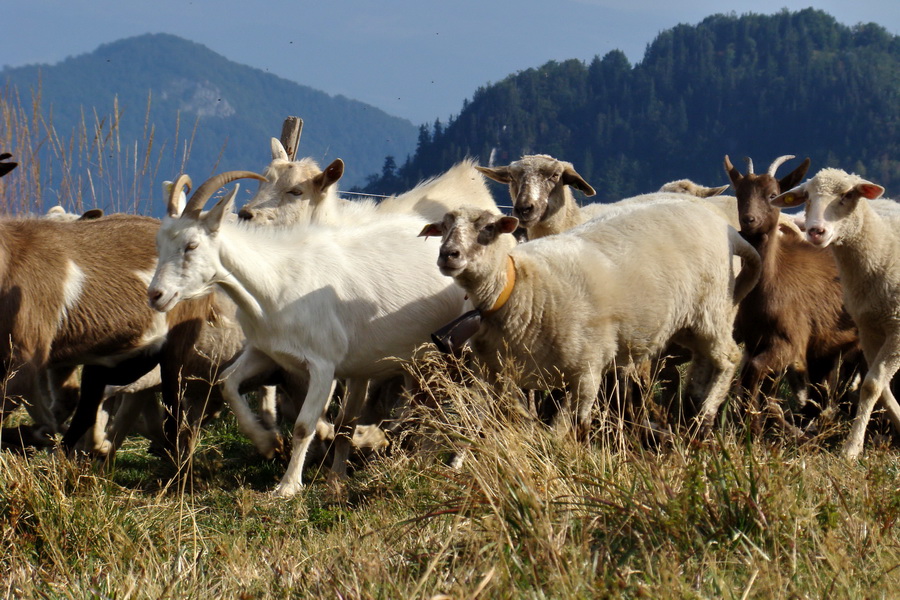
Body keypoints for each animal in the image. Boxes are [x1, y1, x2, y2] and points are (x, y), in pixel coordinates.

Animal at [149, 170, 468, 496]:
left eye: (191, 245)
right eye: (159, 244)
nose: (156, 295)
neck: (276, 282)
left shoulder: (322, 365)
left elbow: (304, 425)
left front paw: (287, 486)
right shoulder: (265, 351)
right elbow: (227, 383)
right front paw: (267, 443)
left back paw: (447, 460)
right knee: (422, 404)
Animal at [420, 200, 760, 436]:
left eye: (488, 228)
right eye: (442, 228)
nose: (448, 255)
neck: (520, 288)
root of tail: (729, 230)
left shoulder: (587, 368)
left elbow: (569, 427)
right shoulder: (498, 377)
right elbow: (513, 418)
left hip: (714, 309)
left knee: (728, 358)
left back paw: (705, 415)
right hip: (690, 322)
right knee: (704, 361)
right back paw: (692, 409)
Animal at [720, 157, 860, 434]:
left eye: (773, 194)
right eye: (739, 193)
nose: (749, 220)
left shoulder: (790, 342)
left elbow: (754, 372)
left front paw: (752, 425)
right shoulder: (755, 342)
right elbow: (757, 383)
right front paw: (755, 424)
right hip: (827, 349)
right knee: (823, 389)